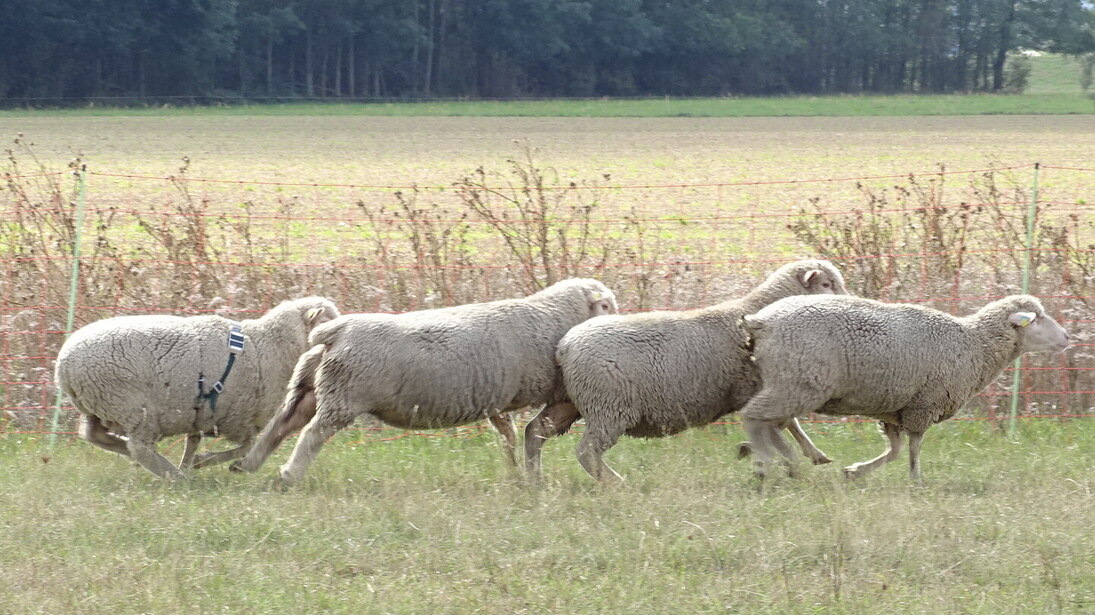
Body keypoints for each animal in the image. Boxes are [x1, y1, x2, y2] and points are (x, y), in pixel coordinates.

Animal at [51, 297, 339, 479]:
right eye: (329, 320)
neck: (267, 344)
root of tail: (63, 367)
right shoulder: (236, 417)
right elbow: (246, 447)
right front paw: (203, 462)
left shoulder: (201, 412)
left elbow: (194, 440)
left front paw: (192, 461)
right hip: (131, 405)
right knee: (140, 447)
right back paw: (173, 475)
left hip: (99, 405)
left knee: (94, 435)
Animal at [229, 275, 617, 481]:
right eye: (607, 306)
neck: (552, 315)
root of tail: (335, 332)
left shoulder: (496, 398)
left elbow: (507, 433)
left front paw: (514, 472)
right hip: (344, 396)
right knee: (310, 435)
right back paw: (288, 474)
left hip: (311, 389)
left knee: (281, 425)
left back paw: (246, 465)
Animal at [525, 256, 849, 481]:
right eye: (826, 284)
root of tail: (565, 346)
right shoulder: (755, 388)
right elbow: (784, 423)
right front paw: (774, 453)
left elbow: (787, 424)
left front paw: (810, 455)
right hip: (609, 407)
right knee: (587, 451)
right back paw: (614, 482)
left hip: (570, 402)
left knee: (535, 431)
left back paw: (535, 479)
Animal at [740, 291, 1064, 479]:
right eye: (1038, 318)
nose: (1067, 337)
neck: (976, 345)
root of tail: (761, 321)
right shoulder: (924, 405)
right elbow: (913, 449)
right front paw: (916, 480)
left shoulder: (894, 410)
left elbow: (894, 450)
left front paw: (856, 471)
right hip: (800, 380)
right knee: (755, 417)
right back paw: (769, 464)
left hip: (793, 380)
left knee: (776, 421)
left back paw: (794, 457)